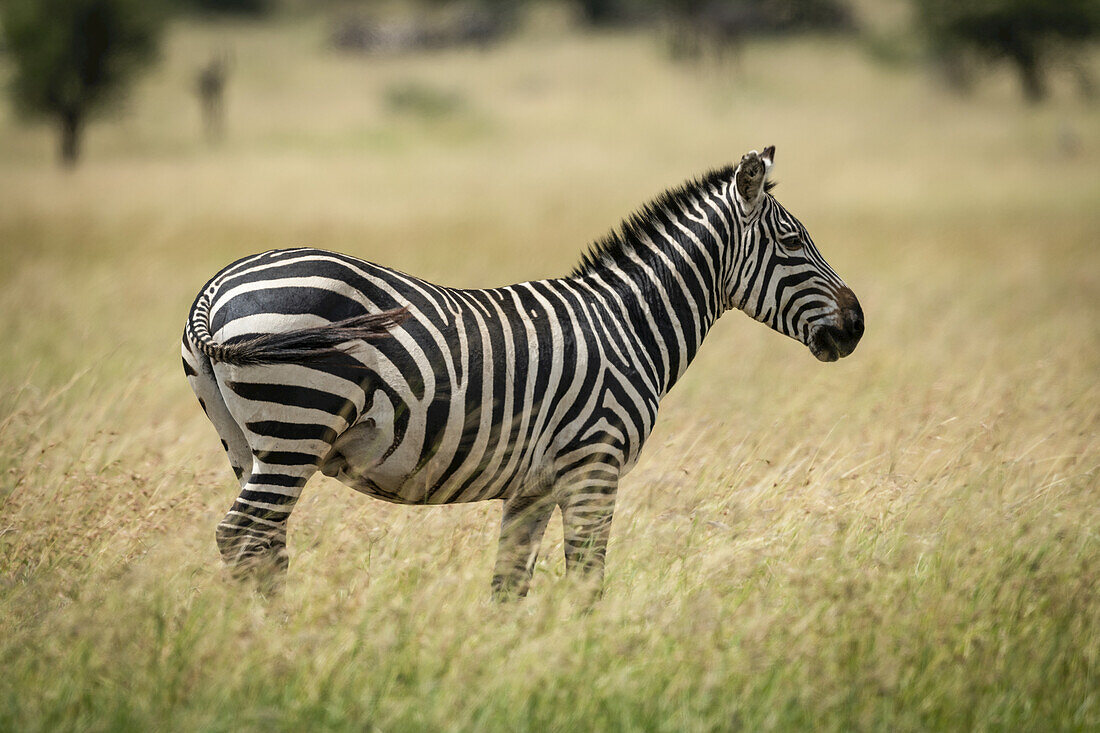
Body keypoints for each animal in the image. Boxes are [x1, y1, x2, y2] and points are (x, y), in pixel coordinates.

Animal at [184, 145, 862, 598]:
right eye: (793, 243)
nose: (856, 326)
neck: (630, 322)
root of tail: (213, 292)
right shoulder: (595, 464)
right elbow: (587, 580)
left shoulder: (534, 484)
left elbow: (508, 586)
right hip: (297, 421)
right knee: (242, 537)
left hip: (248, 443)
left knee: (262, 546)